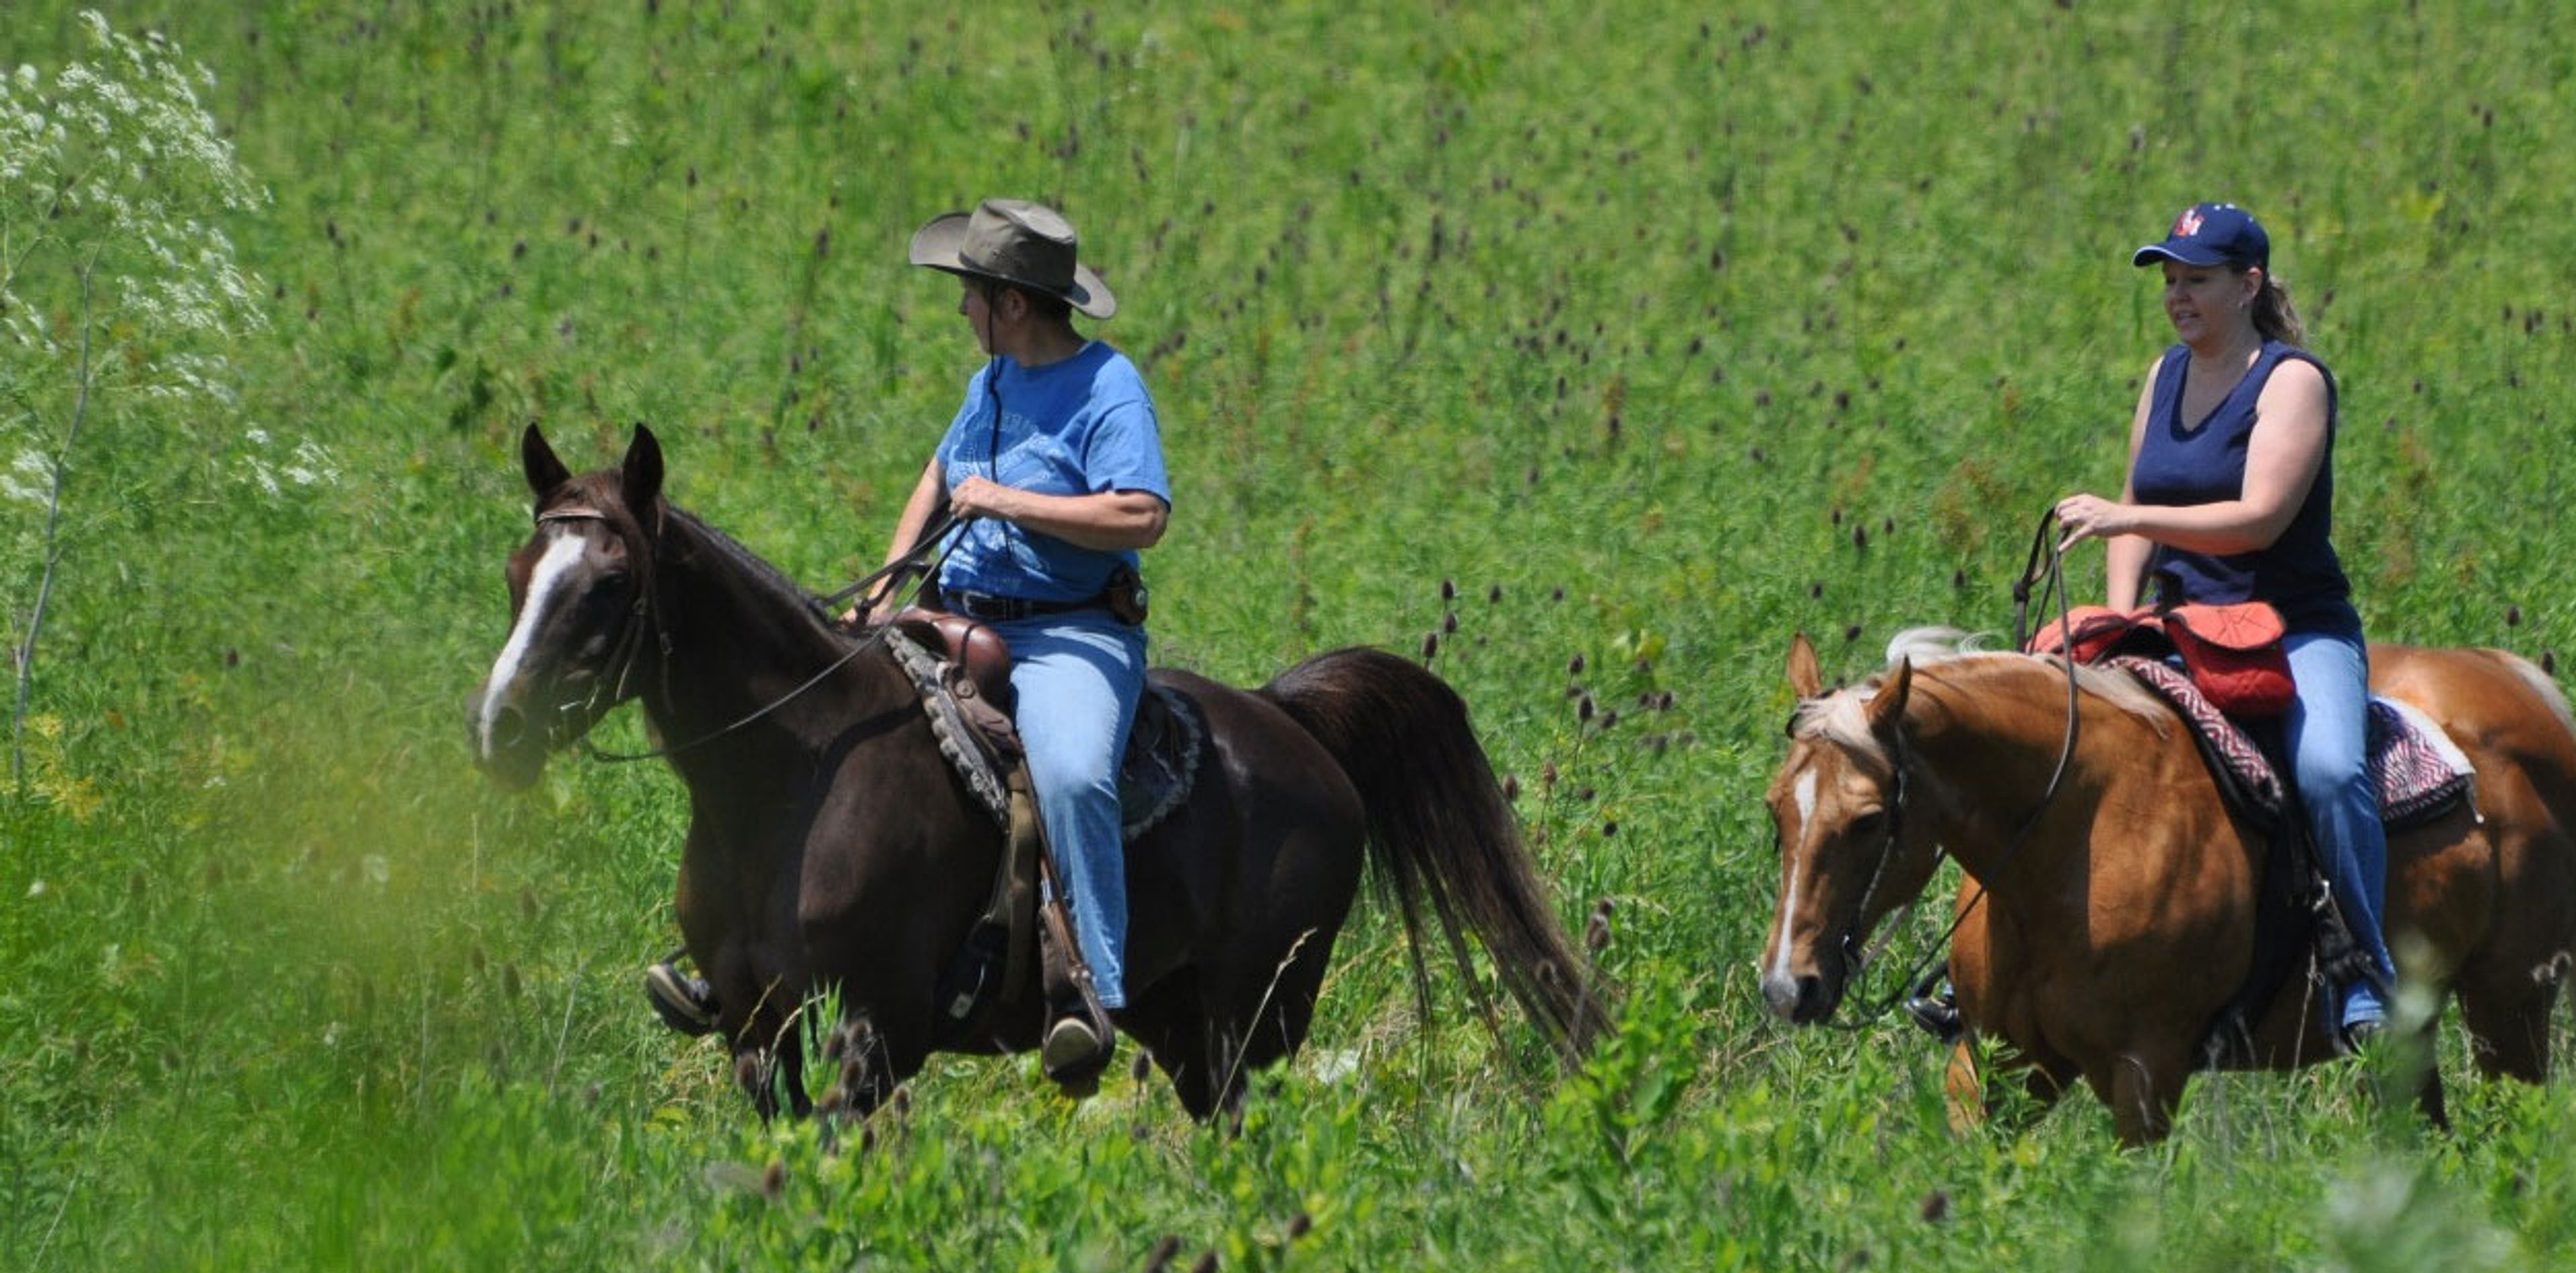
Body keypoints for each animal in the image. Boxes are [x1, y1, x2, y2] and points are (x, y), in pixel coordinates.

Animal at [461, 425, 1587, 1113]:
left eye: (610, 584)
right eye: (517, 574)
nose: (498, 727)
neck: (791, 783)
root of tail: (1285, 716)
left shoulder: (869, 1032)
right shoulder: (755, 1031)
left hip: (1252, 1016)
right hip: (1184, 1022)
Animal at [1762, 626, 2576, 1144]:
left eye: (1868, 820)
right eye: (1776, 810)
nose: (1787, 987)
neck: (2067, 840)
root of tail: (2525, 686)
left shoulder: (2145, 1074)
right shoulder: (1996, 1063)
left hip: (2510, 1005)